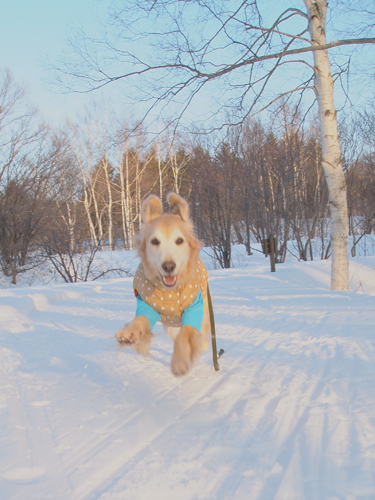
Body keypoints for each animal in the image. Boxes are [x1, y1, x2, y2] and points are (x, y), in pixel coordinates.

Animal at [117, 191, 212, 376]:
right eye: (154, 241)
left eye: (179, 240)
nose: (168, 266)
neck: (169, 291)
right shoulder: (147, 304)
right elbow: (139, 320)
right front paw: (129, 334)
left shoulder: (194, 307)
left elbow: (186, 332)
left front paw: (180, 361)